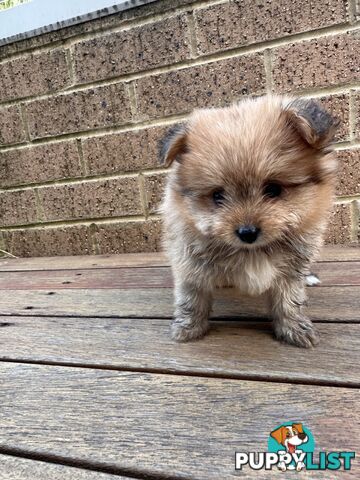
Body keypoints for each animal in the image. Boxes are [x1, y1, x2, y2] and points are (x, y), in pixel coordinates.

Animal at [159, 95, 338, 346]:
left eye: (273, 189)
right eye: (217, 195)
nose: (247, 232)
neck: (251, 252)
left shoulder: (292, 268)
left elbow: (289, 300)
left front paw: (294, 328)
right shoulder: (190, 263)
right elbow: (192, 297)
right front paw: (189, 327)